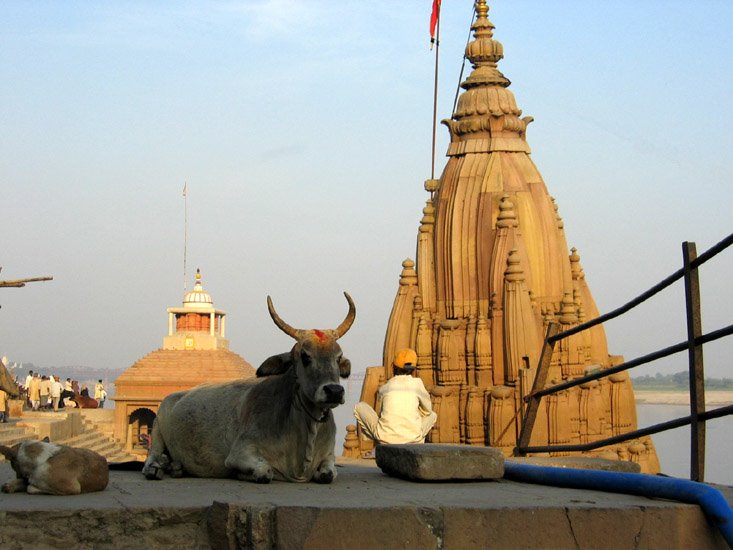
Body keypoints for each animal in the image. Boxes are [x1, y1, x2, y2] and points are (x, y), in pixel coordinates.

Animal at [143, 296, 354, 486]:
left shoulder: (328, 457)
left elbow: (327, 475)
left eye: (338, 357)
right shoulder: (240, 452)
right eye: (305, 356)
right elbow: (264, 472)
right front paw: (242, 474)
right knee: (152, 456)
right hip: (158, 423)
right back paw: (156, 468)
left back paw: (175, 467)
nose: (334, 391)